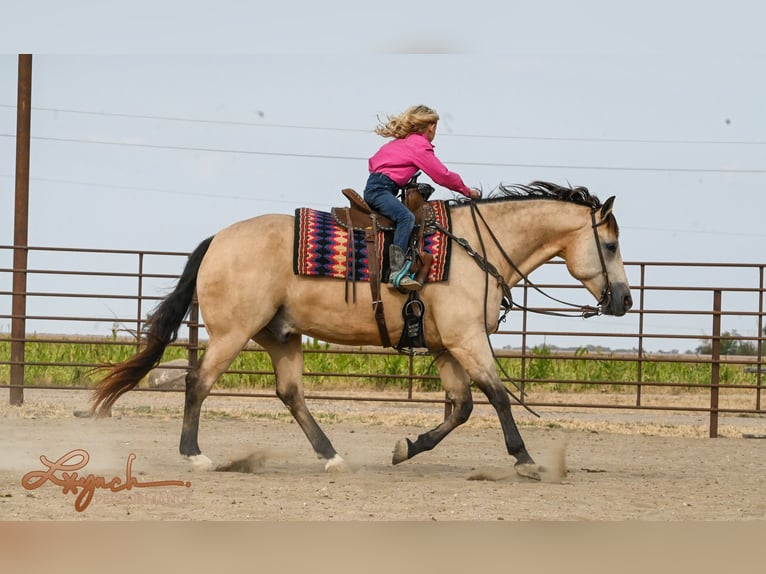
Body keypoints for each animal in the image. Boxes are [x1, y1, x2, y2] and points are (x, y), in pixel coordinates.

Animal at [90, 181, 632, 482]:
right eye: (608, 245)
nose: (625, 300)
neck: (474, 248)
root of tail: (218, 240)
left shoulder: (445, 347)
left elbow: (462, 407)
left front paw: (406, 448)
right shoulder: (467, 340)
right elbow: (497, 396)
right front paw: (524, 460)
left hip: (280, 336)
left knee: (290, 394)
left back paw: (333, 457)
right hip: (232, 332)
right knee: (197, 382)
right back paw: (196, 456)